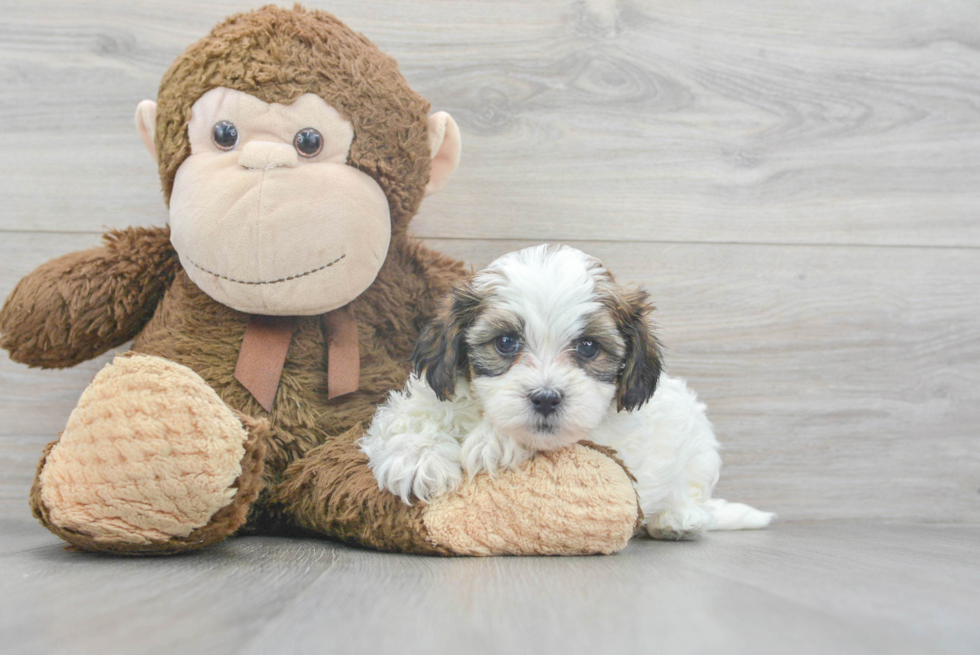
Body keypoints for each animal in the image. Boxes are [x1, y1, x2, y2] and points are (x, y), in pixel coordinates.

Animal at [360, 245, 772, 540]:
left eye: (588, 347)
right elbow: (410, 415)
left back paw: (678, 518)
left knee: (694, 490)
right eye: (506, 342)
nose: (545, 398)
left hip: (699, 444)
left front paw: (495, 440)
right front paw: (416, 458)